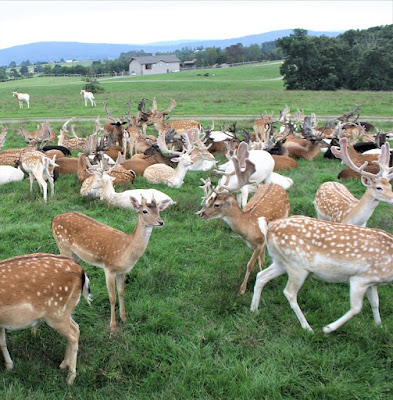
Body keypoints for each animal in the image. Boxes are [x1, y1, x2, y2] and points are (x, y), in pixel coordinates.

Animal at [0, 253, 91, 384]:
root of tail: (81, 270)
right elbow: (2, 342)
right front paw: (9, 367)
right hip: (65, 312)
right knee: (75, 327)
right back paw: (63, 364)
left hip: (57, 314)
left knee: (74, 333)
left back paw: (70, 378)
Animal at [51, 197, 168, 334]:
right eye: (144, 211)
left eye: (159, 210)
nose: (160, 222)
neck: (126, 251)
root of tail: (53, 219)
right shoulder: (109, 268)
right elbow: (112, 297)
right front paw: (113, 326)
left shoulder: (123, 271)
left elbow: (121, 292)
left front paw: (124, 318)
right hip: (62, 245)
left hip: (75, 254)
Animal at [198, 144, 290, 294]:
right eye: (209, 201)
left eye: (217, 204)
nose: (202, 214)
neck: (248, 227)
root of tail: (276, 185)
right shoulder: (252, 245)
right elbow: (256, 260)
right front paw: (261, 267)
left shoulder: (259, 242)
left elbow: (249, 264)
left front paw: (242, 289)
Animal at [250, 216, 392, 334]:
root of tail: (268, 226)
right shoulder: (359, 279)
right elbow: (357, 308)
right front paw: (328, 328)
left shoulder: (371, 281)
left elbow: (375, 302)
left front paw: (379, 326)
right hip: (297, 267)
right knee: (289, 292)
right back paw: (308, 328)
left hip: (281, 262)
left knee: (261, 276)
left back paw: (254, 310)